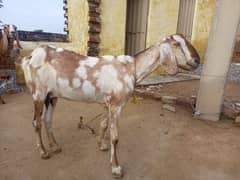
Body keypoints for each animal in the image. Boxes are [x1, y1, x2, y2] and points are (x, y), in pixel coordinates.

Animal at [17, 34, 200, 179]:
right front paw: (116, 168)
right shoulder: (116, 105)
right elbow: (115, 137)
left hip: (51, 96)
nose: (197, 61)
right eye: (177, 44)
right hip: (38, 93)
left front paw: (101, 145)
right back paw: (43, 152)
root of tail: (30, 57)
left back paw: (55, 146)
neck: (132, 69)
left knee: (47, 120)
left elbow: (104, 124)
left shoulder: (107, 104)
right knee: (36, 122)